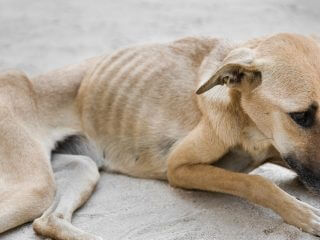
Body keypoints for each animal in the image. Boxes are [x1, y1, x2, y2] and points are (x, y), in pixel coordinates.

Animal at [0, 32, 320, 239]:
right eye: (300, 116)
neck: (247, 120)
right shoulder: (178, 167)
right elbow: (256, 183)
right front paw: (304, 214)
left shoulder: (284, 153)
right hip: (36, 187)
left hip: (82, 168)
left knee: (48, 221)